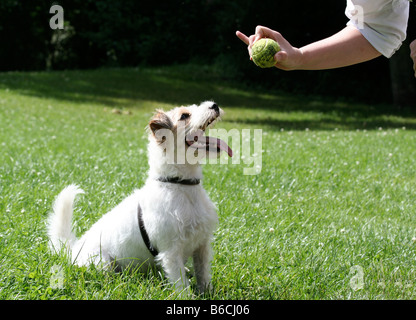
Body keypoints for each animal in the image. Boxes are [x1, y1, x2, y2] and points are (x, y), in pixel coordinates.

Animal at [48, 101, 234, 294]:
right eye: (184, 115)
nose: (214, 105)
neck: (180, 184)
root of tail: (73, 250)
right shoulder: (171, 252)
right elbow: (181, 284)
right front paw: (187, 296)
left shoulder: (202, 246)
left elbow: (203, 275)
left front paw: (208, 293)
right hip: (102, 263)